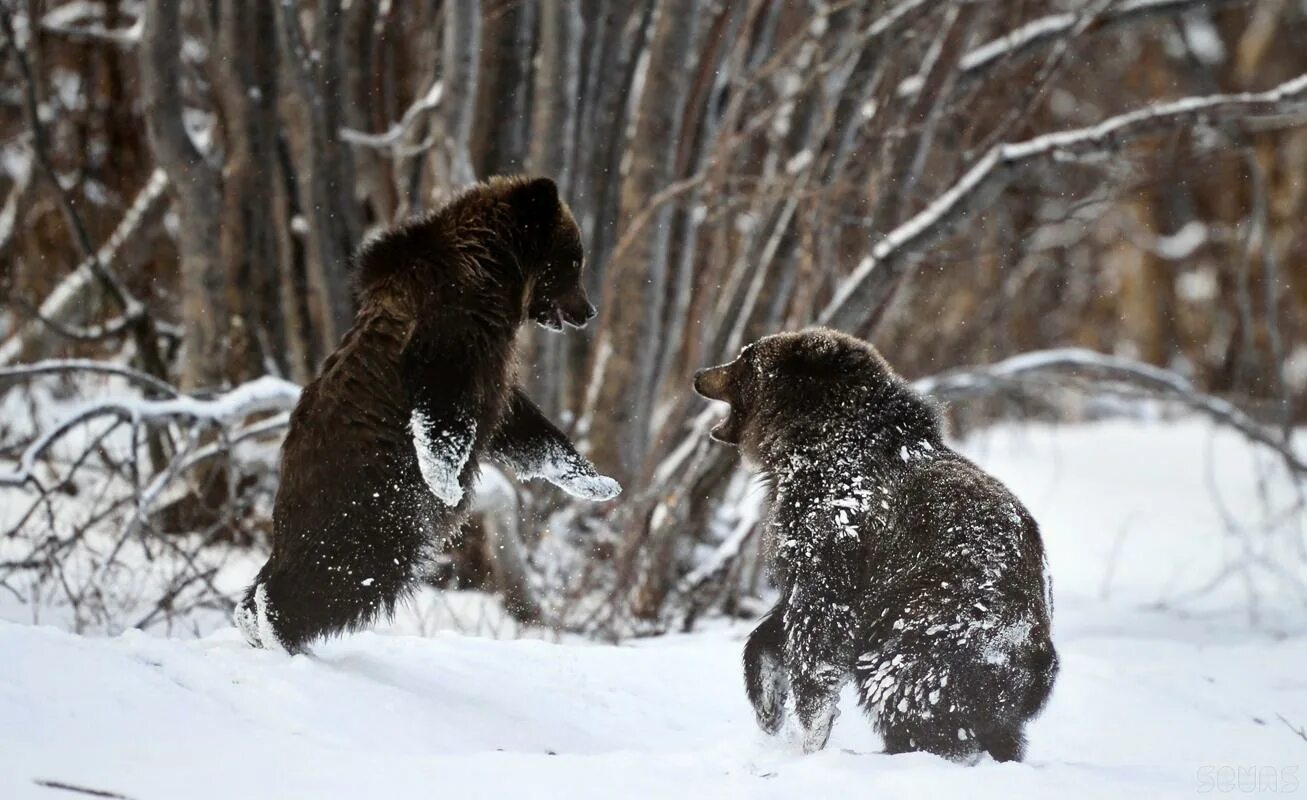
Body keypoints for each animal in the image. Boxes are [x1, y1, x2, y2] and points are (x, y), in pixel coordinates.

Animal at [237, 175, 619, 650]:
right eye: (573, 259)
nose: (588, 311)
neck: (494, 277)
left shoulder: (493, 372)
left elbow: (522, 426)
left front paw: (595, 481)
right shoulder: (450, 330)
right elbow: (444, 411)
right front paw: (447, 483)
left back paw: (253, 617)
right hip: (372, 503)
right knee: (346, 568)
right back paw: (270, 623)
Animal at [695, 329, 1050, 763]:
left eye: (745, 359)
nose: (700, 374)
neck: (808, 447)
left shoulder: (837, 533)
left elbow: (819, 628)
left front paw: (810, 732)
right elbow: (776, 627)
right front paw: (768, 704)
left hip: (937, 617)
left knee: (903, 683)